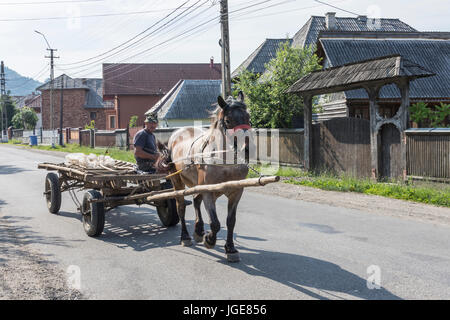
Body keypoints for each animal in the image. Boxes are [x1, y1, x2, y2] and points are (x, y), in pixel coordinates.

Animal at [167, 90, 255, 262]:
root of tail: (177, 132)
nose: (248, 149)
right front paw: (209, 239)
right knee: (180, 207)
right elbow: (215, 223)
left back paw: (198, 230)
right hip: (177, 181)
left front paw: (230, 248)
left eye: (248, 118)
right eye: (228, 120)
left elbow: (230, 221)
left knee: (196, 201)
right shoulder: (208, 191)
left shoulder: (236, 192)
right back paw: (185, 236)